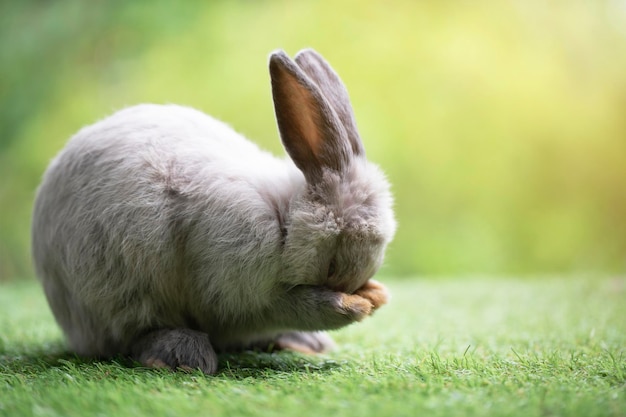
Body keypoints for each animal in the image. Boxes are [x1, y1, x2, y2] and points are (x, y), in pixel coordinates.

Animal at [31, 48, 392, 374]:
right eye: (331, 266)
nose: (353, 288)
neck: (282, 220)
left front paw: (376, 294)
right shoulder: (244, 288)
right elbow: (295, 306)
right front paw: (353, 305)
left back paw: (304, 343)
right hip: (122, 288)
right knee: (136, 334)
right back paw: (182, 357)